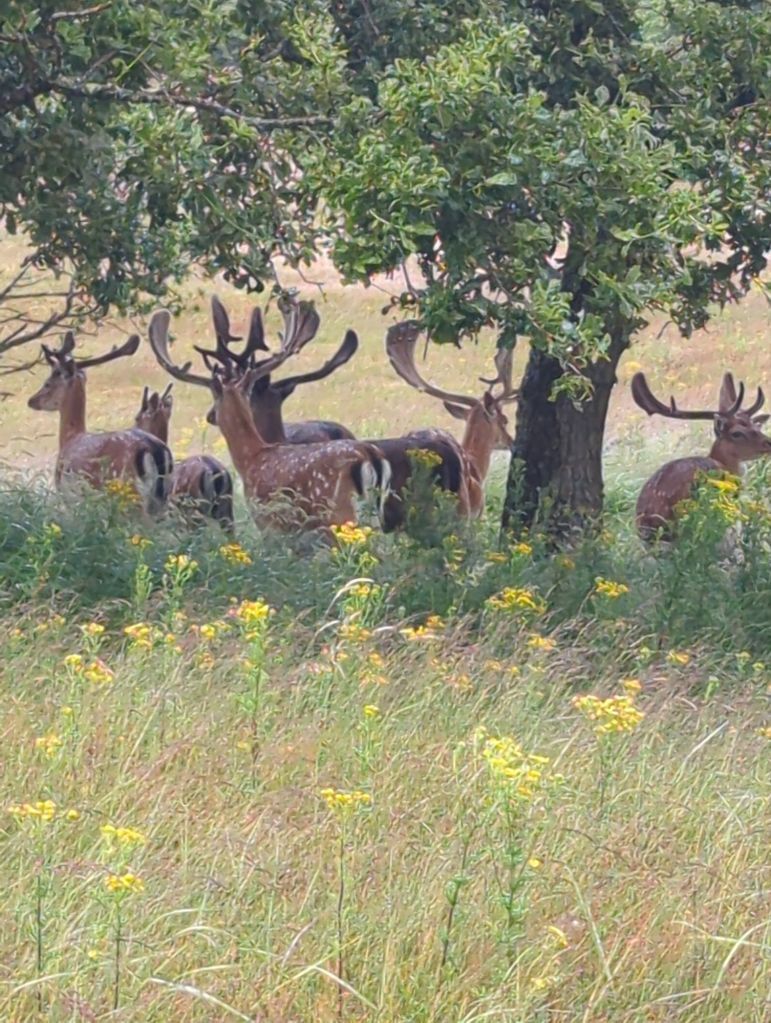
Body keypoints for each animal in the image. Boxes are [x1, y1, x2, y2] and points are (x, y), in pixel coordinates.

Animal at [26, 331, 173, 517]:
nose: (32, 400)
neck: (71, 437)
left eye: (47, 383)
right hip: (162, 499)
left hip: (130, 494)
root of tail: (154, 448)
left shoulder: (67, 496)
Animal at [147, 305, 392, 534]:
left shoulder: (268, 521)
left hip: (339, 511)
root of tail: (370, 456)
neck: (252, 456)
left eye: (214, 397)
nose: (210, 415)